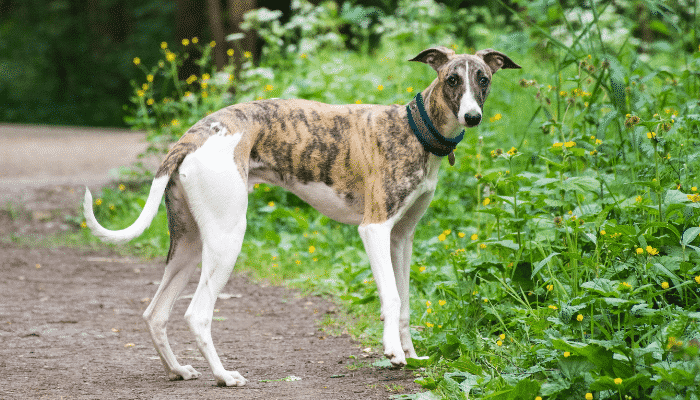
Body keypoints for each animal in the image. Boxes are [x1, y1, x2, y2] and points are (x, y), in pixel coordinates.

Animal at [83, 47, 520, 388]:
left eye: (483, 79)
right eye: (451, 80)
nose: (472, 117)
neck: (414, 128)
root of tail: (194, 135)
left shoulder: (402, 238)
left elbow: (407, 301)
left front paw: (410, 355)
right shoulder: (374, 228)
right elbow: (392, 297)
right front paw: (393, 353)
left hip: (189, 244)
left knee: (155, 313)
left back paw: (178, 370)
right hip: (227, 237)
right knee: (197, 313)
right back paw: (224, 376)